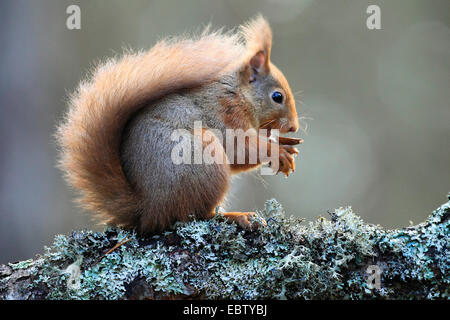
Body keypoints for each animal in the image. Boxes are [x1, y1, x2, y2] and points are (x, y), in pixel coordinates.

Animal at [57, 15, 302, 234]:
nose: (293, 128)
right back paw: (236, 216)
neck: (238, 95)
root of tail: (148, 210)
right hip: (203, 159)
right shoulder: (226, 116)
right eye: (277, 96)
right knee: (197, 215)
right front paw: (277, 151)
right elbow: (242, 149)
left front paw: (285, 144)